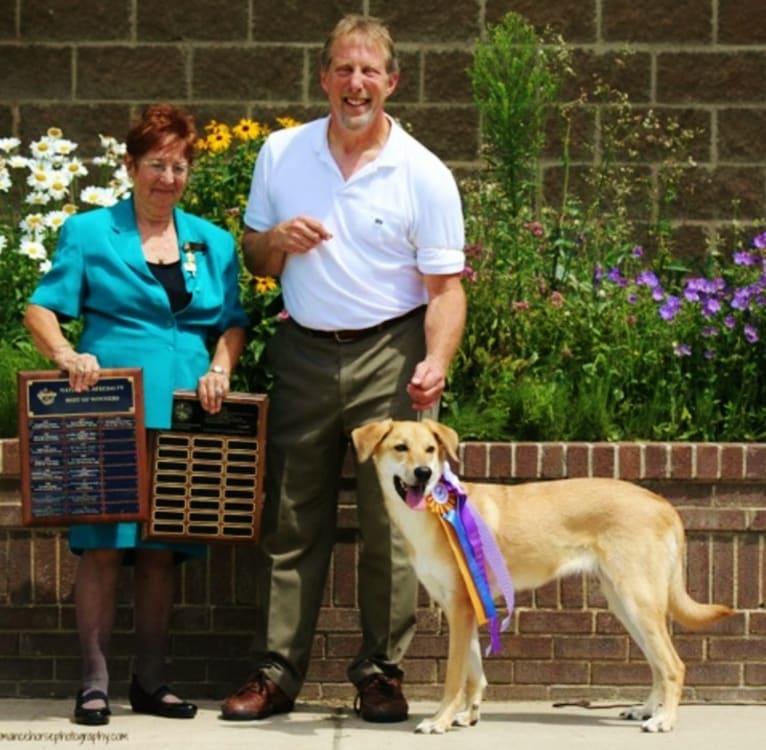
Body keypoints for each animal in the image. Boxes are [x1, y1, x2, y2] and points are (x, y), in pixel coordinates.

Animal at [354, 420, 736, 736]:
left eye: (430, 449)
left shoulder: (461, 609)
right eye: (401, 447)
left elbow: (454, 678)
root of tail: (662, 502)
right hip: (626, 606)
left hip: (638, 601)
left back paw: (663, 720)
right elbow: (475, 672)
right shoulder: (464, 608)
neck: (432, 516)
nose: (424, 473)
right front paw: (468, 715)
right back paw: (645, 710)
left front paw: (440, 720)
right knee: (658, 664)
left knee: (673, 665)